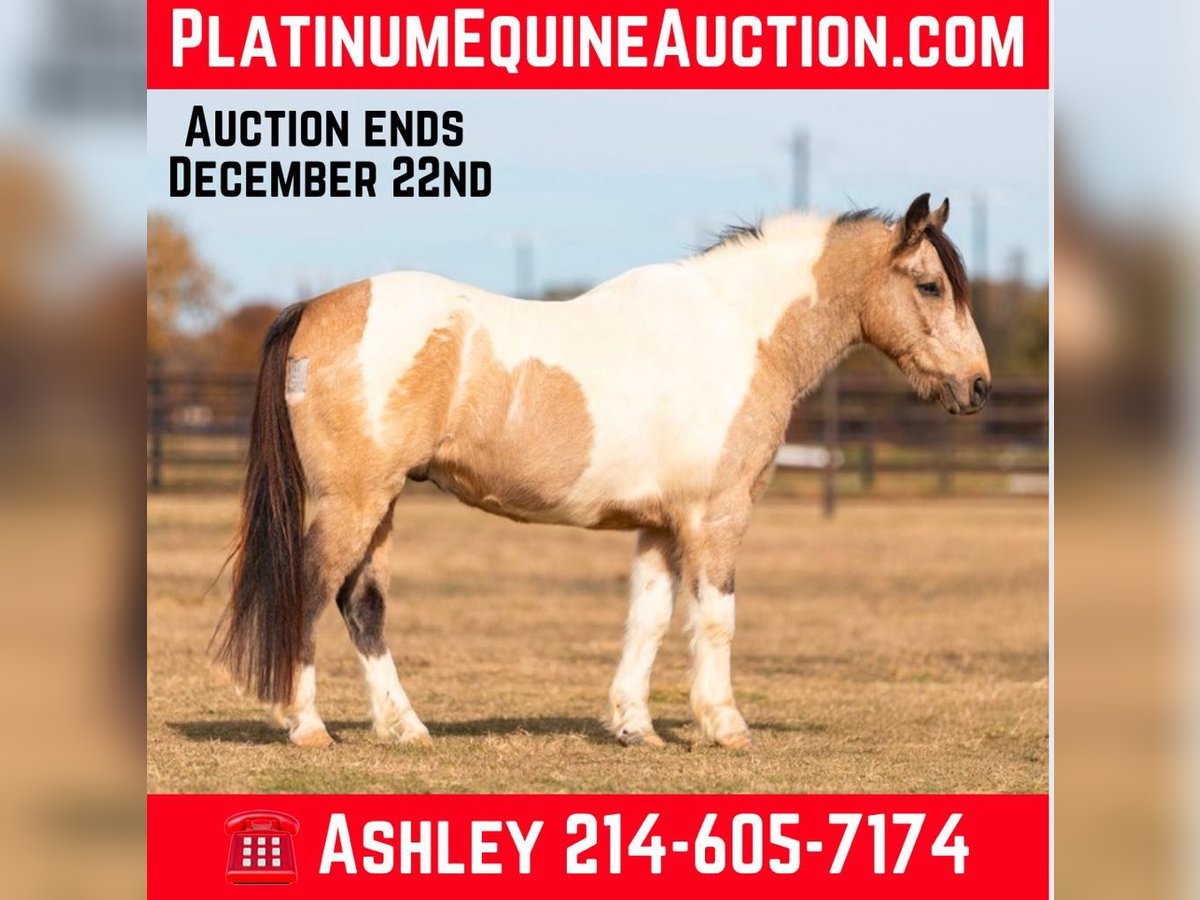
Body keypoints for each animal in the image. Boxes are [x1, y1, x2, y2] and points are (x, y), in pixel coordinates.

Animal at [214, 192, 990, 750]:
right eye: (928, 285)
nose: (978, 386)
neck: (735, 334)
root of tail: (314, 307)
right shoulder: (716, 517)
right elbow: (715, 619)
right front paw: (725, 726)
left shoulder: (660, 526)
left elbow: (647, 620)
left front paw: (633, 726)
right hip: (355, 501)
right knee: (310, 593)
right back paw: (308, 727)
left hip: (380, 505)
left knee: (362, 605)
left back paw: (405, 729)